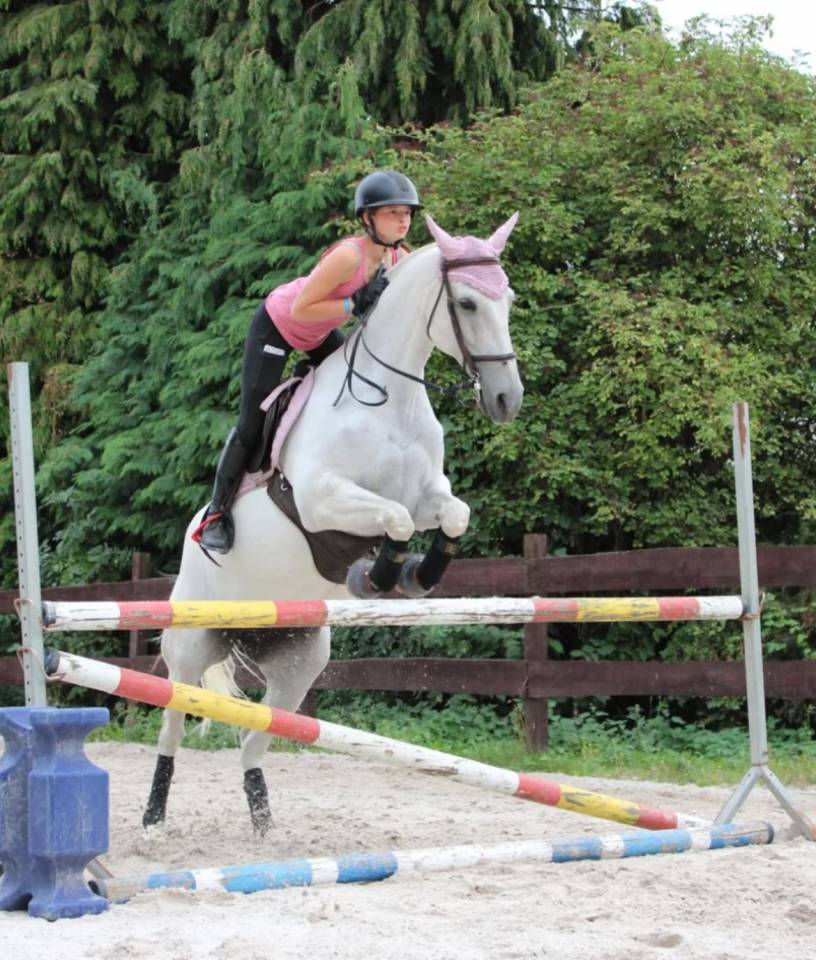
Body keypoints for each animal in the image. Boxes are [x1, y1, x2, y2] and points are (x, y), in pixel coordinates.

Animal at [143, 213, 524, 835]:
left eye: (508, 300)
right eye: (467, 303)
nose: (506, 399)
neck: (389, 401)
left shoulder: (428, 495)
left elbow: (452, 514)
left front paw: (420, 573)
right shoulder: (324, 501)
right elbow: (393, 520)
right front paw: (380, 575)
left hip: (298, 662)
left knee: (256, 738)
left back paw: (264, 826)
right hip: (193, 643)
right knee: (173, 724)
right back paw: (154, 815)